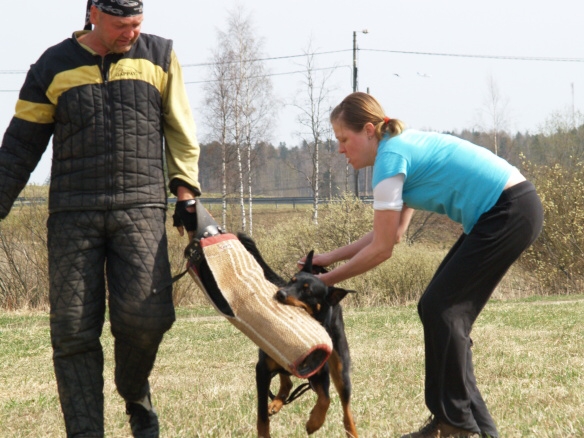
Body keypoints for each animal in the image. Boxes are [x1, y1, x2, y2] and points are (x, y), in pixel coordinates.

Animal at [235, 234, 358, 438]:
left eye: (308, 291)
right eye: (291, 281)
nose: (280, 293)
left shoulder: (320, 372)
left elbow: (326, 398)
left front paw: (315, 422)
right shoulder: (262, 370)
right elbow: (262, 415)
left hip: (341, 367)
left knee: (345, 403)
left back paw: (351, 430)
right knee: (286, 382)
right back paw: (277, 402)